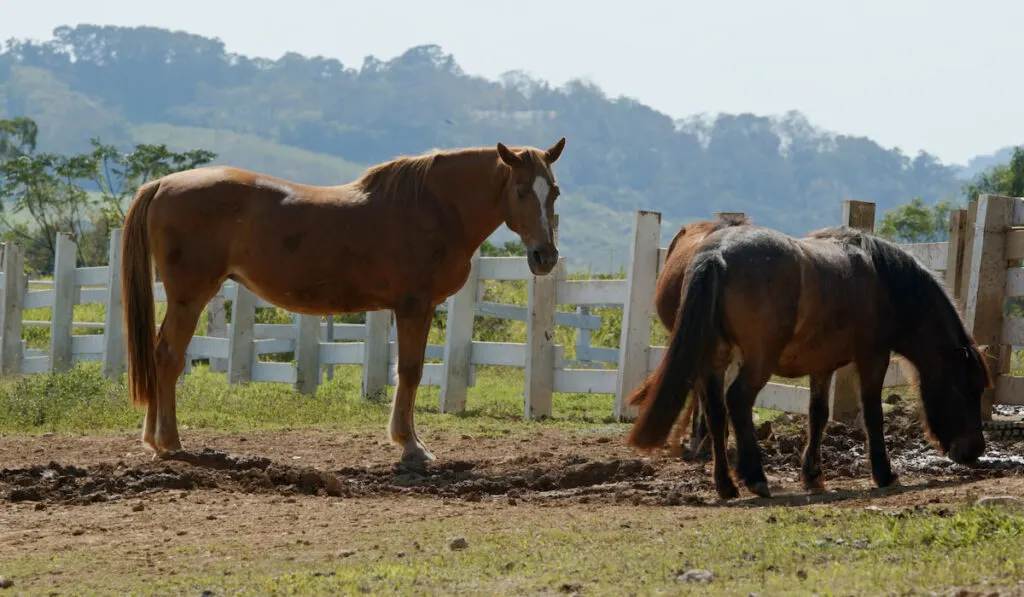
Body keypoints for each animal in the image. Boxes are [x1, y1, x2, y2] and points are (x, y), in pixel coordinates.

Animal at [122, 139, 569, 462]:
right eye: (521, 190)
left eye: (554, 191)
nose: (545, 256)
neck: (435, 207)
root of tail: (161, 185)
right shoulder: (413, 305)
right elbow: (410, 371)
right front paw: (410, 445)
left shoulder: (418, 308)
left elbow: (409, 371)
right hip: (189, 296)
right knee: (167, 357)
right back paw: (169, 441)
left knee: (159, 355)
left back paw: (153, 438)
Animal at [622, 221, 991, 499]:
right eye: (965, 389)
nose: (975, 449)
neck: (884, 282)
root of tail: (718, 253)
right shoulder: (873, 357)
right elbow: (873, 415)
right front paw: (883, 473)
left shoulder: (822, 365)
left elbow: (818, 415)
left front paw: (812, 474)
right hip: (758, 360)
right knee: (737, 401)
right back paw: (755, 477)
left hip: (716, 360)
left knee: (716, 413)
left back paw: (726, 485)